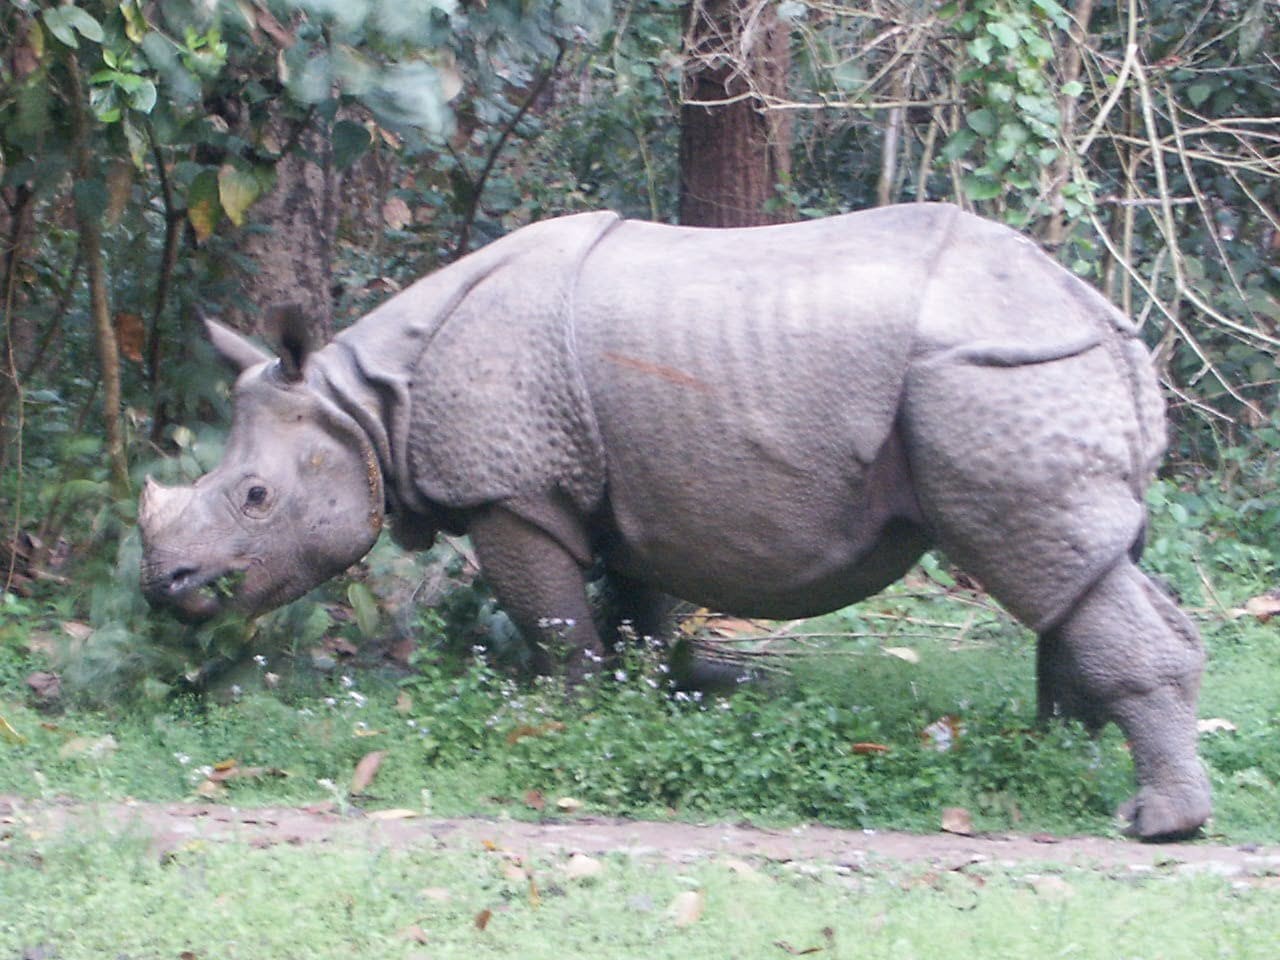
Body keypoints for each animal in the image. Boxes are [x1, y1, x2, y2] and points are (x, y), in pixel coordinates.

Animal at [139, 204, 1209, 840]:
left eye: (255, 498)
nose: (166, 590)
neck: (365, 407)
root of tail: (1106, 316)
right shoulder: (629, 490)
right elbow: (639, 617)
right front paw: (643, 713)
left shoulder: (512, 494)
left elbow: (558, 624)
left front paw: (558, 729)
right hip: (1029, 369)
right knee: (1084, 567)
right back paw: (1057, 753)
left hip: (994, 374)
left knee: (1040, 561)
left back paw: (1154, 823)